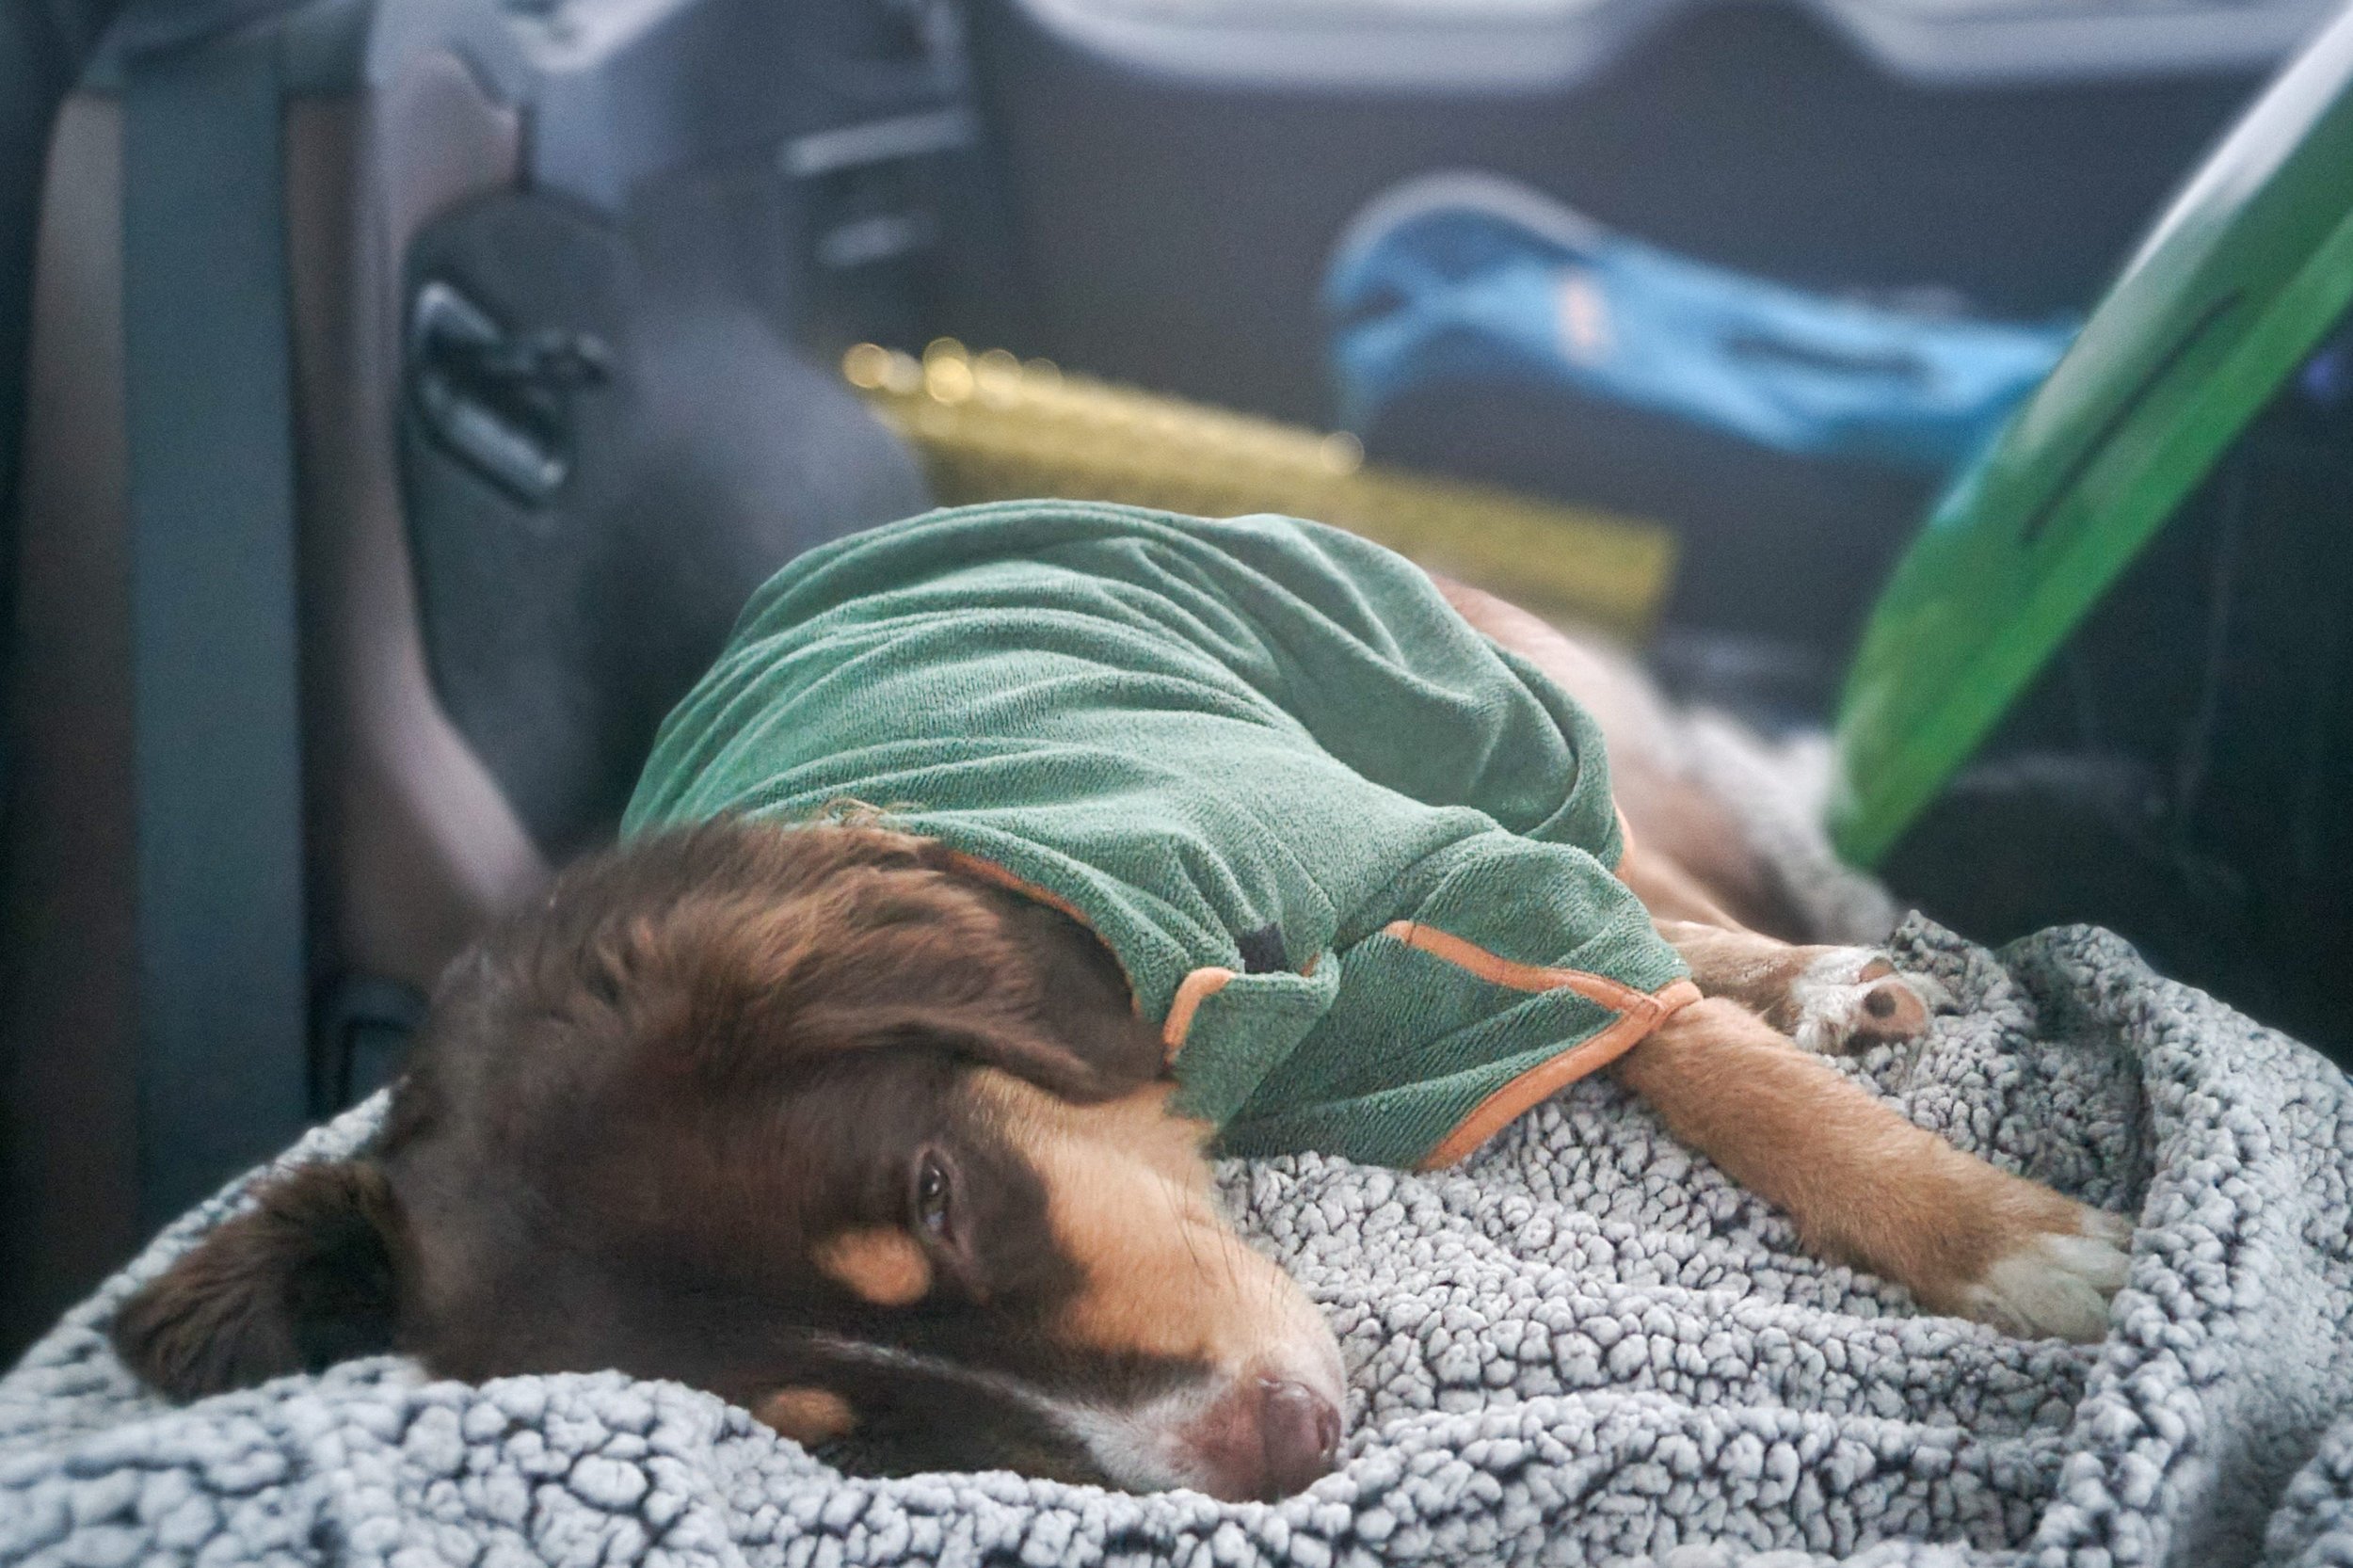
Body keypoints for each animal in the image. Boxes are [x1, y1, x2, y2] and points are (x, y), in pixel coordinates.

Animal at [110, 505, 2137, 1496]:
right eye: (839, 1429)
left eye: (936, 1195)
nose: (1277, 1456)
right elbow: (1651, 1015)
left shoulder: (1459, 878)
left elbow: (1706, 1066)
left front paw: (2005, 1241)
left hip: (1507, 728)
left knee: (1666, 908)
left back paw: (1825, 973)